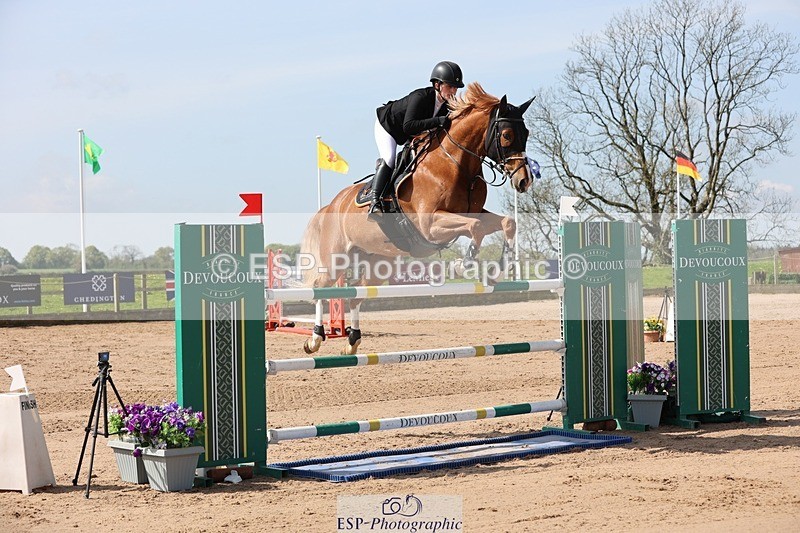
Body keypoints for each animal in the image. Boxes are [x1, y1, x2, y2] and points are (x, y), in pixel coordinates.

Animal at [299, 82, 535, 354]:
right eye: (506, 135)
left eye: (526, 133)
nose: (525, 180)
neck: (455, 163)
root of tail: (331, 205)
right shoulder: (430, 224)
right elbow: (475, 228)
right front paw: (463, 264)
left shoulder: (468, 215)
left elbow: (507, 222)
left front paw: (497, 270)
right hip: (336, 258)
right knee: (320, 286)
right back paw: (315, 338)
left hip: (379, 262)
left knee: (357, 293)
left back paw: (352, 342)